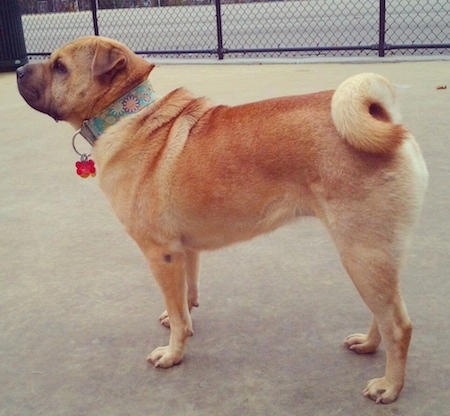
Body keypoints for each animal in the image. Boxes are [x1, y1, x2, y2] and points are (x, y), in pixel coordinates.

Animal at [14, 36, 428, 404]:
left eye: (60, 67)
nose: (17, 69)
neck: (130, 114)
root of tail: (385, 122)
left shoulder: (161, 255)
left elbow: (179, 311)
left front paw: (173, 353)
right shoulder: (183, 252)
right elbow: (185, 298)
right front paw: (180, 321)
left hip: (362, 254)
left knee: (399, 325)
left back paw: (390, 386)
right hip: (374, 259)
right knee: (385, 314)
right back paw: (369, 345)